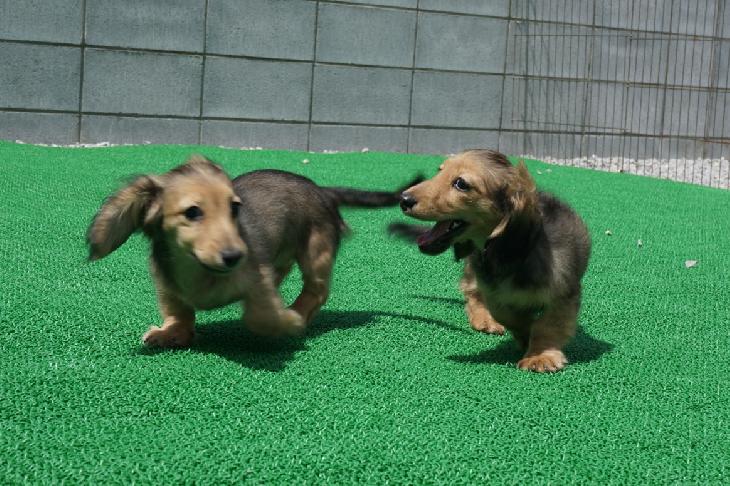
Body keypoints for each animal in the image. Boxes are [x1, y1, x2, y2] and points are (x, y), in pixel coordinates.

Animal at [87, 155, 420, 348]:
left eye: (235, 208)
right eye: (193, 212)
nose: (236, 256)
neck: (200, 270)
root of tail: (322, 190)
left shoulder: (256, 280)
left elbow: (258, 315)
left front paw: (286, 321)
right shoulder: (169, 287)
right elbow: (179, 313)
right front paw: (168, 333)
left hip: (316, 252)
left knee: (317, 290)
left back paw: (299, 313)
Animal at [389, 149, 591, 372]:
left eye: (461, 183)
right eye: (439, 171)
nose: (403, 199)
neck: (514, 257)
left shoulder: (563, 294)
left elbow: (548, 325)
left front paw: (540, 356)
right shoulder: (493, 292)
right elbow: (506, 314)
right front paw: (524, 331)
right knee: (472, 293)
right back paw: (483, 318)